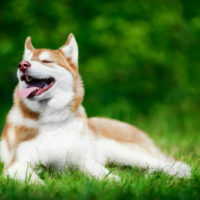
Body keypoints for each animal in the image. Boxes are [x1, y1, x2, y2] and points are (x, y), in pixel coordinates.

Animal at [0, 33, 191, 184]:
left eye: (46, 61)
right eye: (27, 60)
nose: (22, 65)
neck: (52, 122)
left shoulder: (83, 161)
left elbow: (105, 175)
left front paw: (116, 182)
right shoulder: (16, 164)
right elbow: (32, 179)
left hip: (128, 153)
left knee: (169, 163)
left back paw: (181, 174)